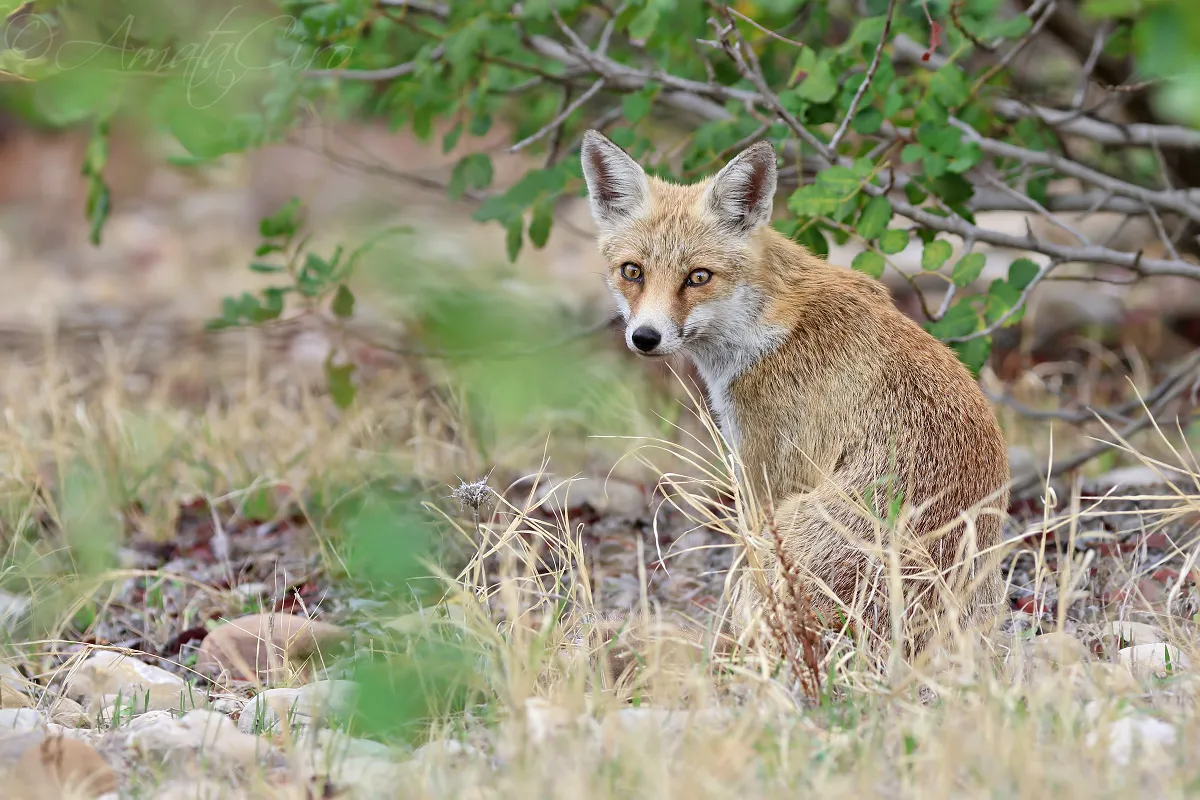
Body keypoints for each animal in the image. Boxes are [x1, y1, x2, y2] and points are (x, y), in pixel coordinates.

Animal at [579, 130, 1010, 659]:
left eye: (698, 276)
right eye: (632, 271)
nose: (645, 337)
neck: (763, 329)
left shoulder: (766, 471)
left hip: (788, 527)